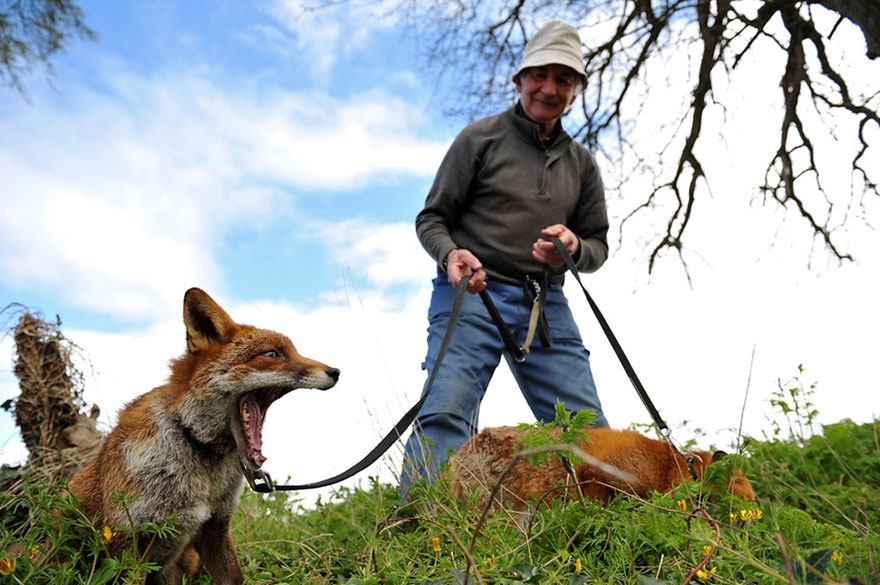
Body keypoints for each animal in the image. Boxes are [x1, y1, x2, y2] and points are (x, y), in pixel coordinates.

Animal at [68, 288, 340, 585]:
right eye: (272, 353)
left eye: (295, 351)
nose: (336, 372)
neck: (193, 441)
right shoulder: (127, 540)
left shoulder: (215, 527)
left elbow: (235, 578)